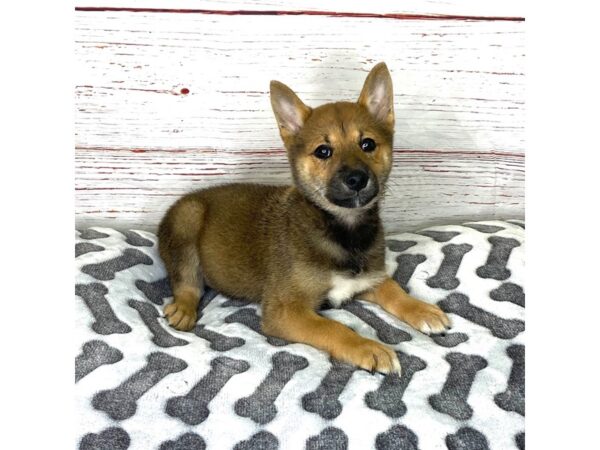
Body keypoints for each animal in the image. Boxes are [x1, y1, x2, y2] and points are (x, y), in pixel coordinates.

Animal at [158, 62, 450, 372]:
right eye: (323, 151)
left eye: (368, 145)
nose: (357, 179)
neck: (342, 229)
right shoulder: (285, 310)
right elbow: (334, 328)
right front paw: (368, 348)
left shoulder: (367, 279)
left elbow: (393, 289)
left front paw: (421, 310)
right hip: (187, 218)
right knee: (187, 282)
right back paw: (183, 309)